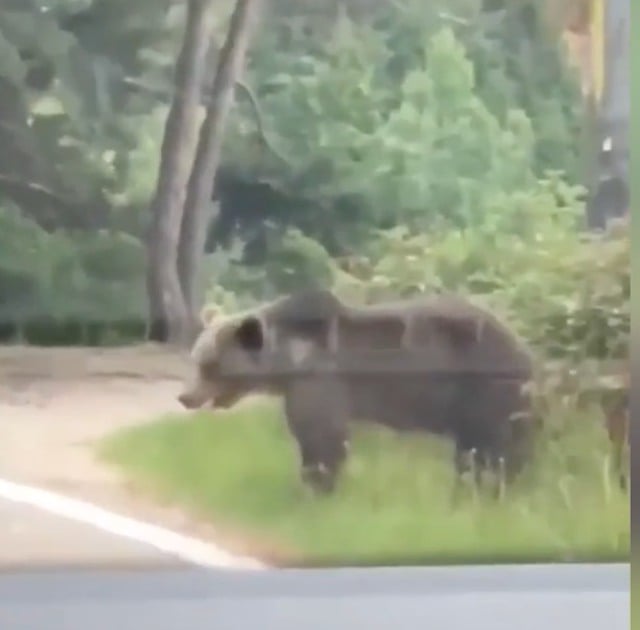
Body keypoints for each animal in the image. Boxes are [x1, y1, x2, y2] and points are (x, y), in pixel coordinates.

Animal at [179, 288, 536, 496]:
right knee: (475, 448)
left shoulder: (319, 380)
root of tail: (524, 349)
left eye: (209, 364)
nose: (185, 397)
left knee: (492, 446)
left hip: (481, 385)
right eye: (195, 359)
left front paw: (319, 484)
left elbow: (322, 436)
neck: (287, 360)